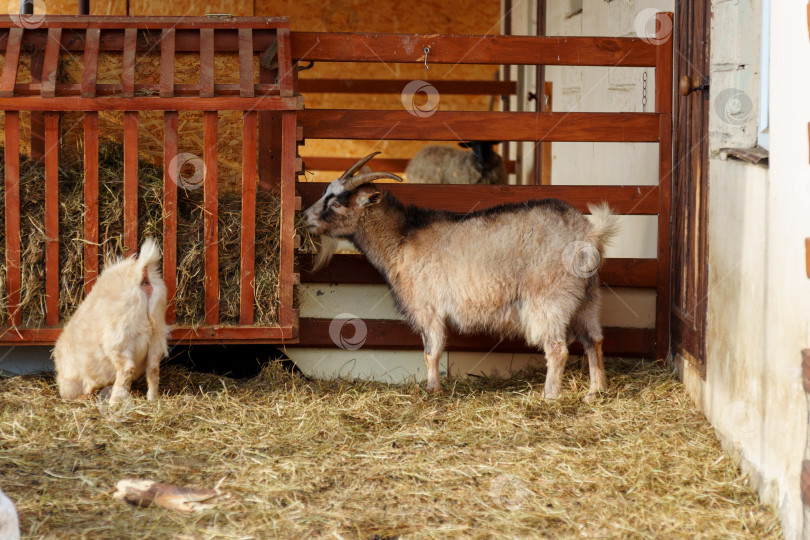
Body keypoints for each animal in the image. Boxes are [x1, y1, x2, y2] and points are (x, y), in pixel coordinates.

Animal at [52, 238, 169, 402]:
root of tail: (140, 273)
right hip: (157, 333)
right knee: (153, 369)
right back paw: (151, 399)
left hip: (119, 338)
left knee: (127, 369)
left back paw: (114, 401)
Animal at [304, 152, 620, 400]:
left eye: (337, 203)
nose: (305, 217)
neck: (402, 239)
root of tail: (589, 234)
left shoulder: (428, 307)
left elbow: (431, 351)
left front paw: (433, 390)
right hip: (587, 297)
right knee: (594, 340)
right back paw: (595, 392)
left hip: (551, 298)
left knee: (557, 349)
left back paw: (549, 397)